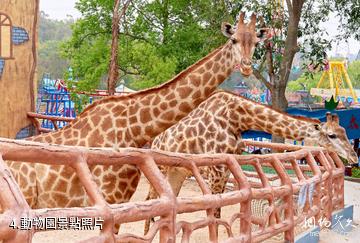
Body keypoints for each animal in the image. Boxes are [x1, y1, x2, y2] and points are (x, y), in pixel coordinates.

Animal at [4, 11, 266, 209]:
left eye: (256, 42)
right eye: (233, 40)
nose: (246, 67)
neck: (133, 129)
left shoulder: (120, 199)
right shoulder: (107, 200)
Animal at [145, 90, 358, 233]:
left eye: (345, 132)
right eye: (332, 135)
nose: (354, 158)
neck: (237, 118)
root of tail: (155, 140)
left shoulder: (226, 171)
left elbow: (219, 213)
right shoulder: (215, 171)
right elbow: (214, 215)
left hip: (178, 172)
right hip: (161, 168)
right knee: (150, 199)